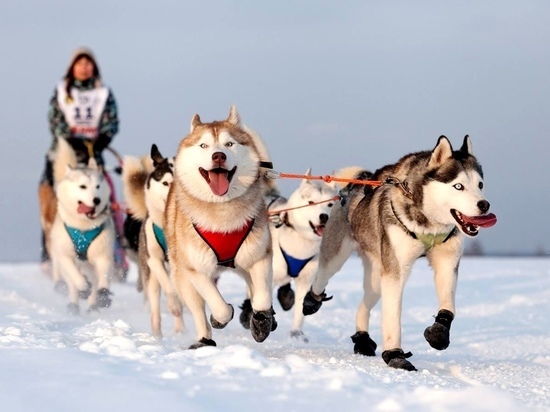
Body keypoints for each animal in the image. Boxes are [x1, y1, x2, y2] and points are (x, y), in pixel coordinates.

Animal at [123, 145, 183, 338]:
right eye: (166, 183)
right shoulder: (154, 259)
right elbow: (169, 289)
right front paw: (174, 305)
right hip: (150, 276)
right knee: (155, 301)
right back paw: (157, 332)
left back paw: (180, 328)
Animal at [165, 105, 278, 348]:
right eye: (203, 145)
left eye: (229, 144)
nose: (218, 156)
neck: (222, 216)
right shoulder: (196, 269)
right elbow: (219, 306)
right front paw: (219, 318)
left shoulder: (260, 257)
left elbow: (262, 298)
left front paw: (262, 322)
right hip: (182, 279)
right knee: (198, 310)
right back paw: (204, 339)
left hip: (244, 264)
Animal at [304, 135, 498, 370]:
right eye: (458, 186)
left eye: (480, 185)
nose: (484, 205)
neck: (429, 224)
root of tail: (355, 185)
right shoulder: (395, 273)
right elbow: (393, 317)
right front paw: (395, 355)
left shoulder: (447, 262)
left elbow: (448, 305)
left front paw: (439, 333)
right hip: (337, 259)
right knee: (321, 279)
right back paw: (311, 301)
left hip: (377, 278)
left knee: (363, 305)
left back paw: (362, 339)